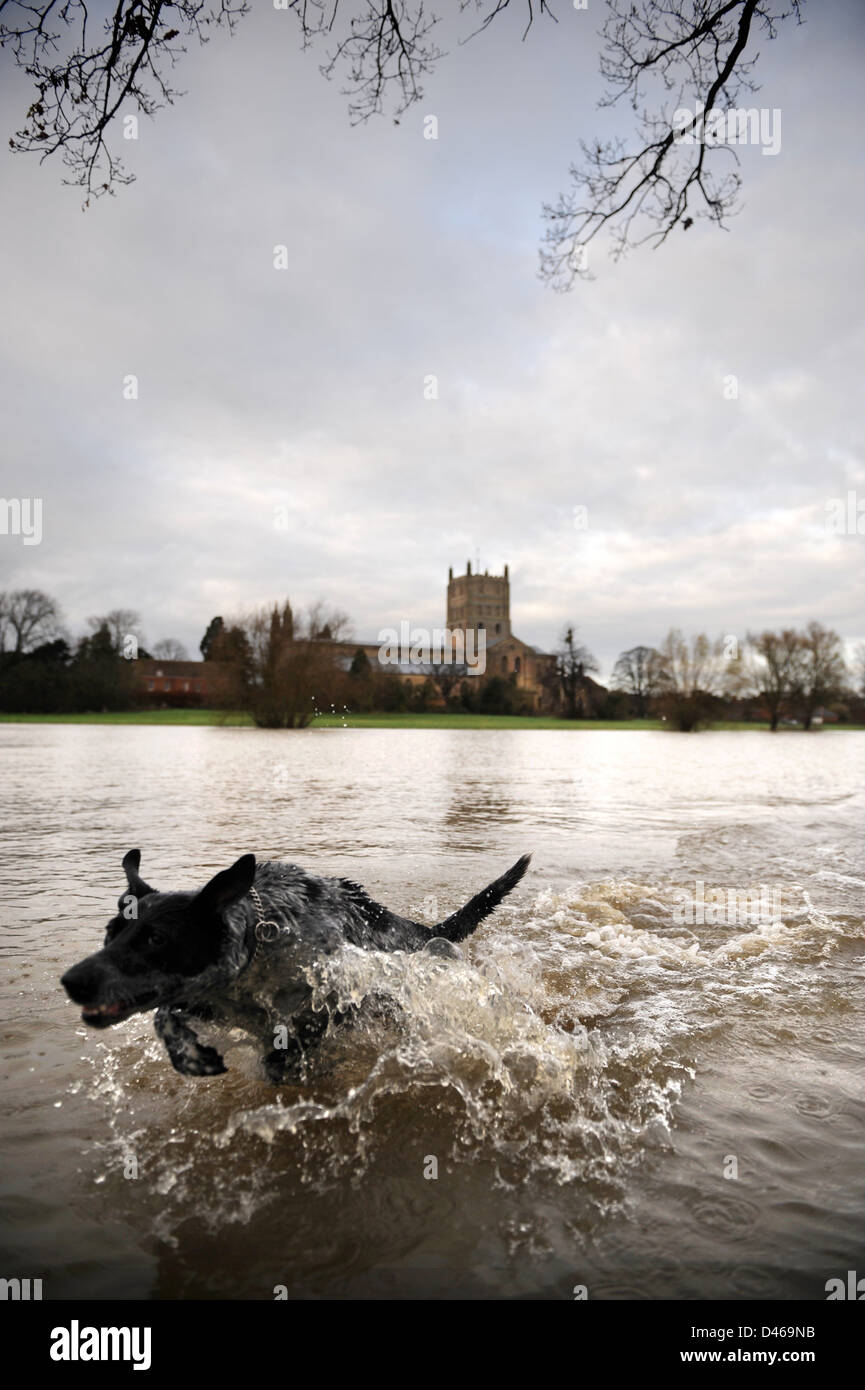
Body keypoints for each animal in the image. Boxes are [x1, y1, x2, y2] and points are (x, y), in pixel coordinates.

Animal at [61, 845, 531, 1084]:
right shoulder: (204, 998)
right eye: (109, 933)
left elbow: (297, 1036)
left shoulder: (330, 993)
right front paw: (189, 1055)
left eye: (157, 938)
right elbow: (164, 1014)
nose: (72, 981)